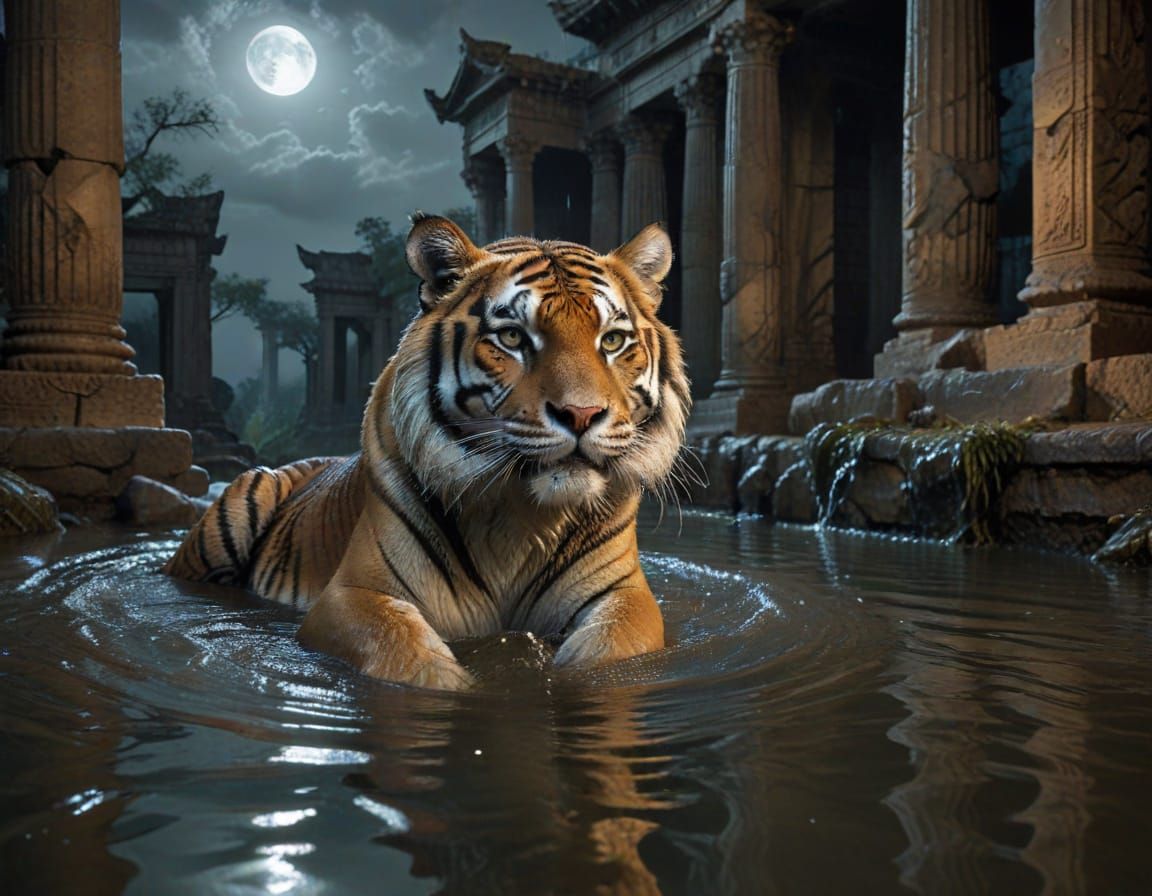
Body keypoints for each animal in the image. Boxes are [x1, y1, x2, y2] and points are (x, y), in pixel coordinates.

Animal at [164, 214, 691, 690]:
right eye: (513, 337)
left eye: (613, 340)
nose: (581, 414)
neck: (522, 516)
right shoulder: (354, 594)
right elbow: (406, 655)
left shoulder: (626, 595)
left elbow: (604, 654)